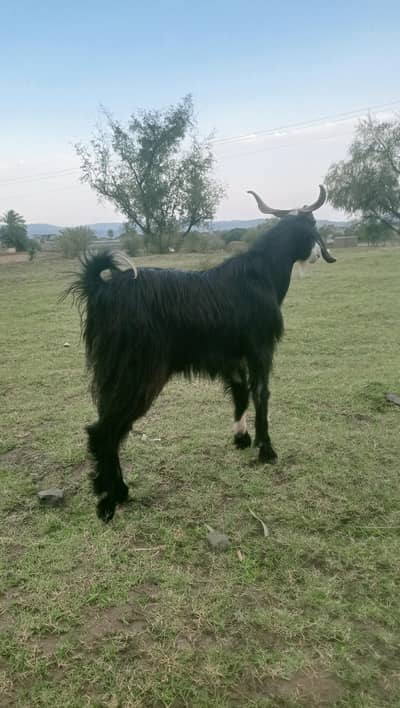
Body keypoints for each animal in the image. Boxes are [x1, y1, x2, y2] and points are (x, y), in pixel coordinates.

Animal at [68, 185, 335, 522]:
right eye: (312, 225)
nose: (318, 254)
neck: (261, 274)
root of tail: (101, 288)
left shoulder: (232, 357)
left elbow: (240, 392)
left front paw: (242, 439)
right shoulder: (261, 348)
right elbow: (261, 393)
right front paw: (267, 450)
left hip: (114, 372)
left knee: (110, 427)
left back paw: (117, 491)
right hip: (138, 373)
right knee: (104, 430)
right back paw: (109, 499)